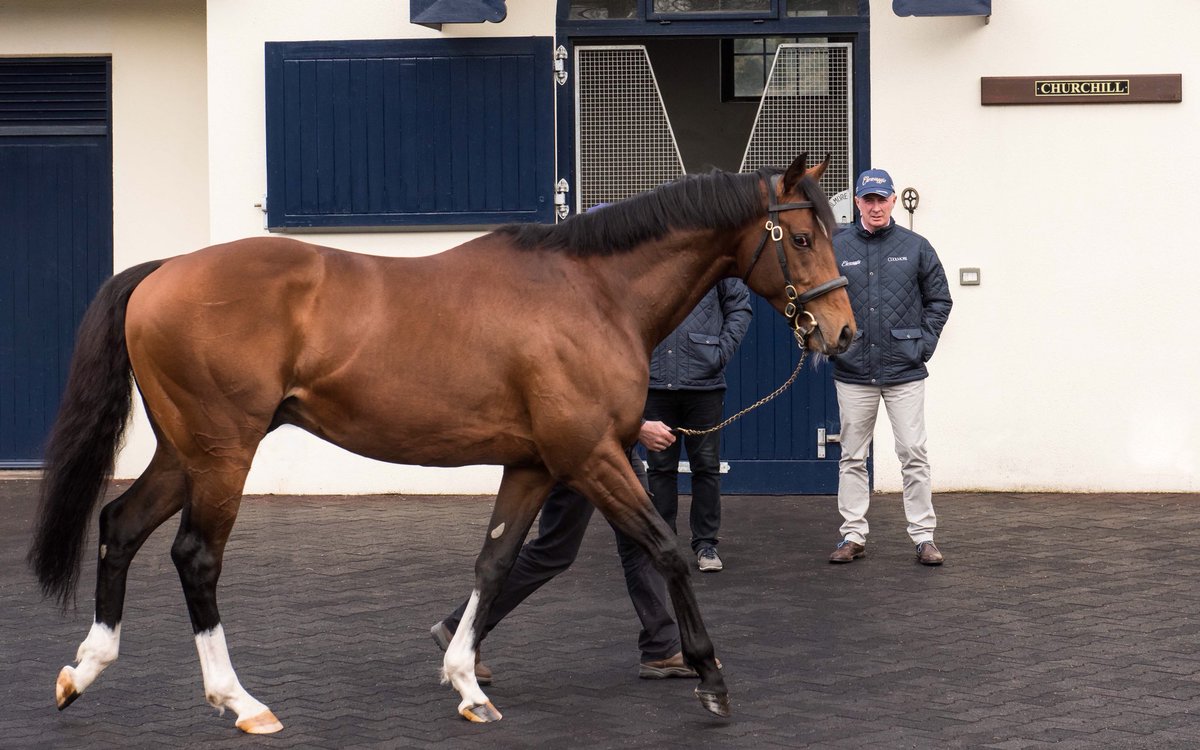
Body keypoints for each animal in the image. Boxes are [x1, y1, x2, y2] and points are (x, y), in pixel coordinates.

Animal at [27, 153, 854, 733]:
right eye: (802, 236)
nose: (843, 332)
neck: (592, 295)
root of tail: (161, 272)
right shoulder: (590, 457)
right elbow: (664, 548)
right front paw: (712, 678)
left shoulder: (533, 465)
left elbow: (495, 560)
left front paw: (465, 679)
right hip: (223, 454)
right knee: (195, 557)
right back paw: (241, 701)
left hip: (187, 453)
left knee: (120, 525)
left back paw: (84, 670)